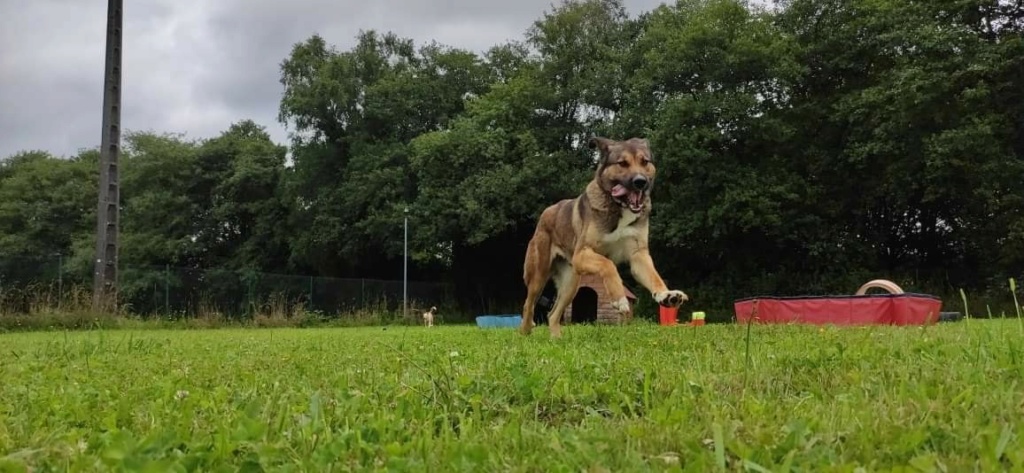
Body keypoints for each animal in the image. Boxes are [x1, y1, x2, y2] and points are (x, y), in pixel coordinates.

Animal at [520, 135, 688, 337]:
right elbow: (608, 265)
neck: (619, 206)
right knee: (528, 305)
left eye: (644, 162)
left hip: (571, 282)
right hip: (539, 274)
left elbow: (653, 276)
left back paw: (556, 339)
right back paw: (526, 333)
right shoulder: (582, 253)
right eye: (622, 163)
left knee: (553, 313)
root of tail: (545, 213)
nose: (640, 182)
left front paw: (666, 295)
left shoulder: (638, 255)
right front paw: (619, 299)